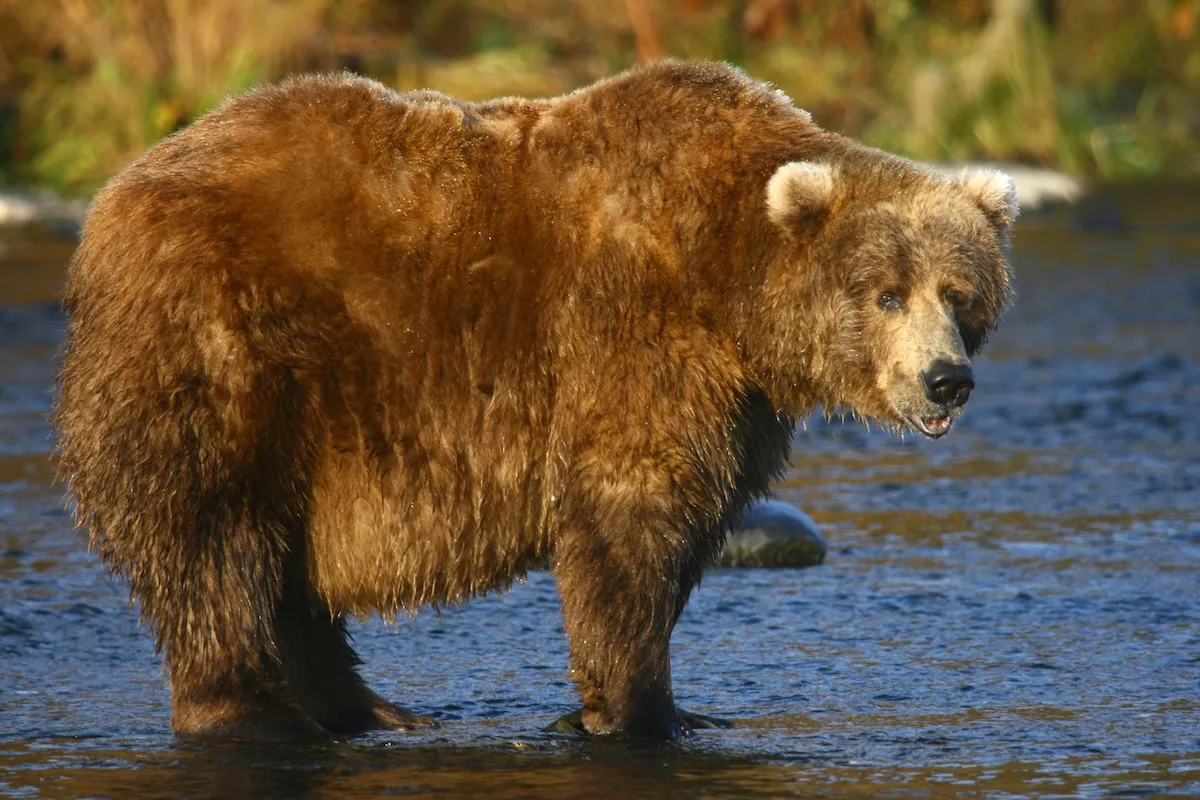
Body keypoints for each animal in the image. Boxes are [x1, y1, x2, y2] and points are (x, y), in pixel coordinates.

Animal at [54, 59, 1016, 741]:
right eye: (886, 292)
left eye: (959, 292)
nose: (946, 378)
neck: (727, 281)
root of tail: (112, 197)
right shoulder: (629, 336)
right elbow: (628, 512)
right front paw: (643, 709)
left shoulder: (737, 404)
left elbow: (694, 518)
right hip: (227, 346)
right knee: (215, 530)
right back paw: (256, 710)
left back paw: (368, 708)